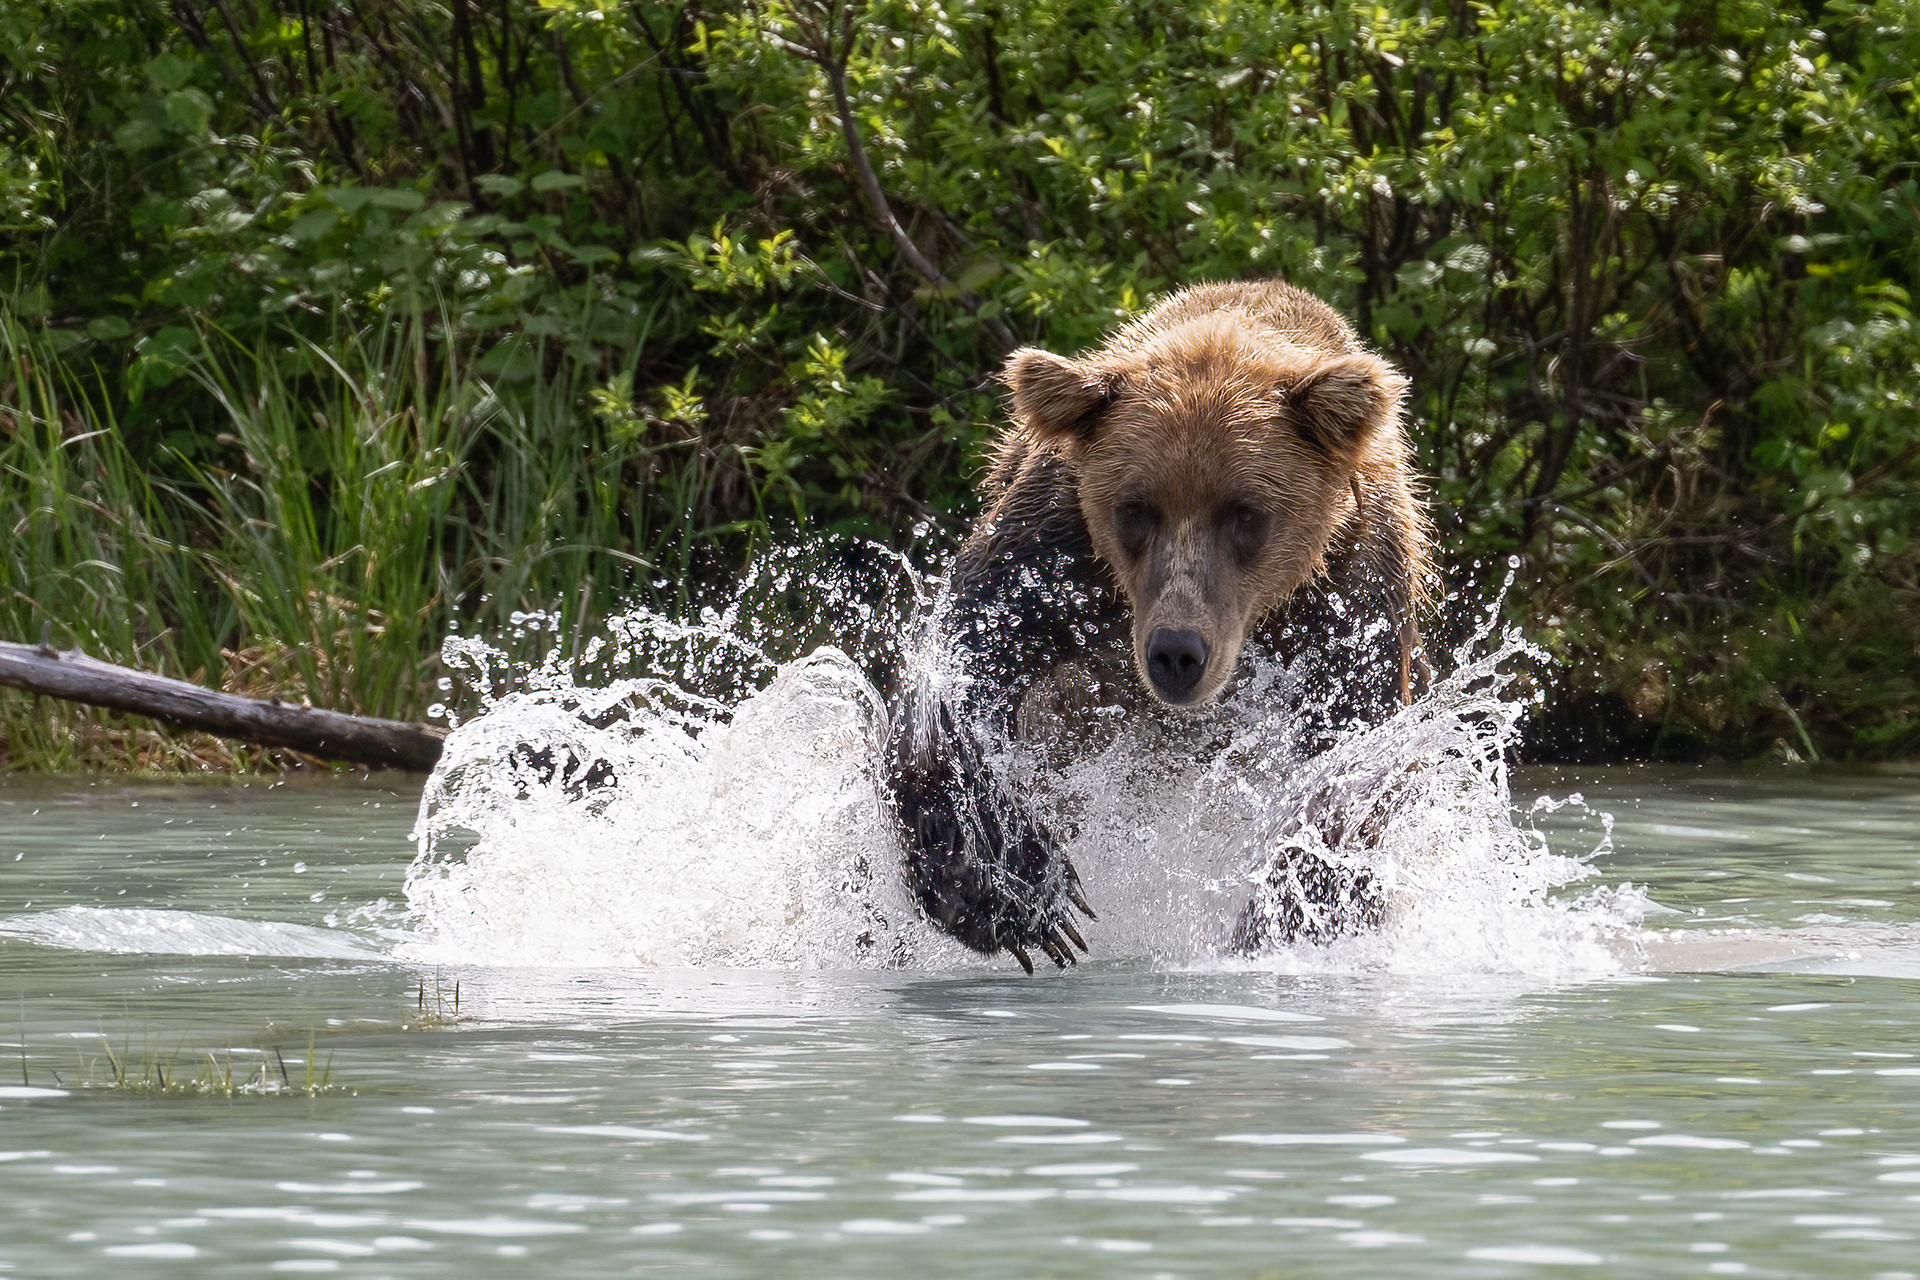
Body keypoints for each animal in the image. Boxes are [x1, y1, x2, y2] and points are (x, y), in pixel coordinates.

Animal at [885, 280, 1433, 973]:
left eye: (1245, 512)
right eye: (1136, 508)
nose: (1177, 653)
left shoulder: (1351, 593)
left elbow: (1349, 763)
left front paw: (1286, 914)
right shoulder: (1056, 553)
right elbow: (961, 669)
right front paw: (1015, 892)